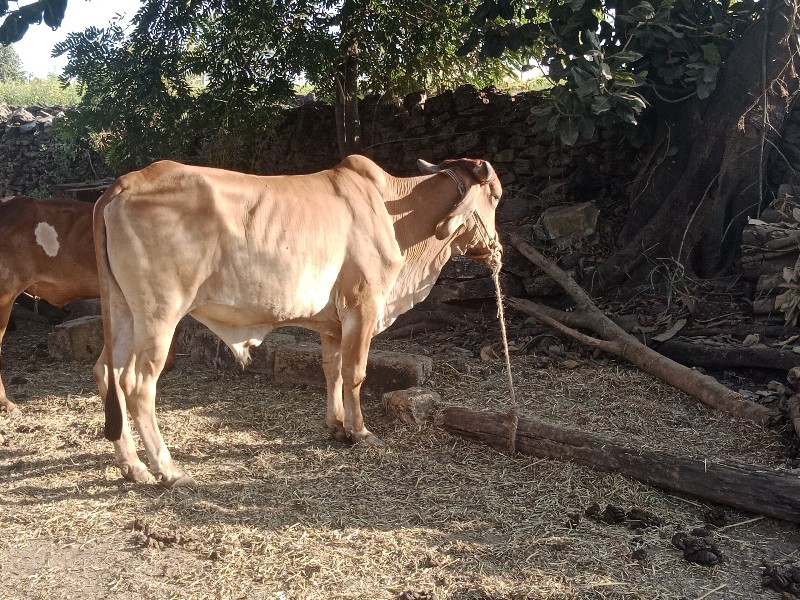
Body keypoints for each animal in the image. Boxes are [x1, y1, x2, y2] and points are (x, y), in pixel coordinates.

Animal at [94, 152, 500, 486]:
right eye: (496, 196)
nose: (496, 248)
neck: (396, 216)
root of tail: (124, 183)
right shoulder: (363, 305)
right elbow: (355, 373)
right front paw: (361, 432)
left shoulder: (333, 322)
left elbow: (332, 370)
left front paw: (336, 427)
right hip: (159, 314)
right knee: (138, 385)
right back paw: (168, 469)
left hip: (123, 313)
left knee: (107, 373)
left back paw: (134, 466)